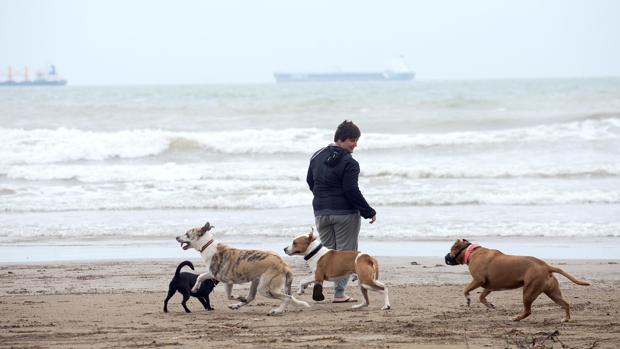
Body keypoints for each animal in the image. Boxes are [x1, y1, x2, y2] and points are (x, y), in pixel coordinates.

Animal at [174, 223, 310, 316]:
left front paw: (238, 297)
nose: (176, 237)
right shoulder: (213, 273)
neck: (207, 246)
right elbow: (200, 276)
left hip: (265, 288)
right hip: (256, 282)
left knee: (288, 297)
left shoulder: (227, 281)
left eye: (187, 233)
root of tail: (284, 264)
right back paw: (237, 305)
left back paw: (277, 311)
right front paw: (195, 288)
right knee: (251, 298)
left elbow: (229, 295)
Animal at [446, 239, 592, 320]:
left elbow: (465, 289)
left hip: (528, 292)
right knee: (565, 304)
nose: (446, 256)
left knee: (528, 311)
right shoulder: (489, 286)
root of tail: (545, 266)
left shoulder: (478, 280)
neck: (470, 251)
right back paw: (566, 319)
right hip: (552, 292)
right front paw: (489, 305)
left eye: (451, 249)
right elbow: (482, 297)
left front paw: (468, 299)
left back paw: (516, 318)